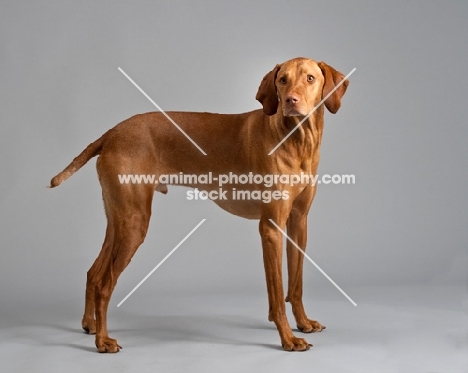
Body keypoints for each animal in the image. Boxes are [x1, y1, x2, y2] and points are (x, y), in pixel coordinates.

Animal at [50, 56, 348, 350]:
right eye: (282, 80)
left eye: (310, 78)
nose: (290, 101)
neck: (297, 140)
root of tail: (111, 133)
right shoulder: (271, 228)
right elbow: (277, 295)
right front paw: (287, 338)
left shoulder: (298, 222)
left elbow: (295, 285)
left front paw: (304, 323)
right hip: (134, 223)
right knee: (104, 284)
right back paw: (103, 340)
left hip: (119, 220)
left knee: (93, 273)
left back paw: (90, 324)